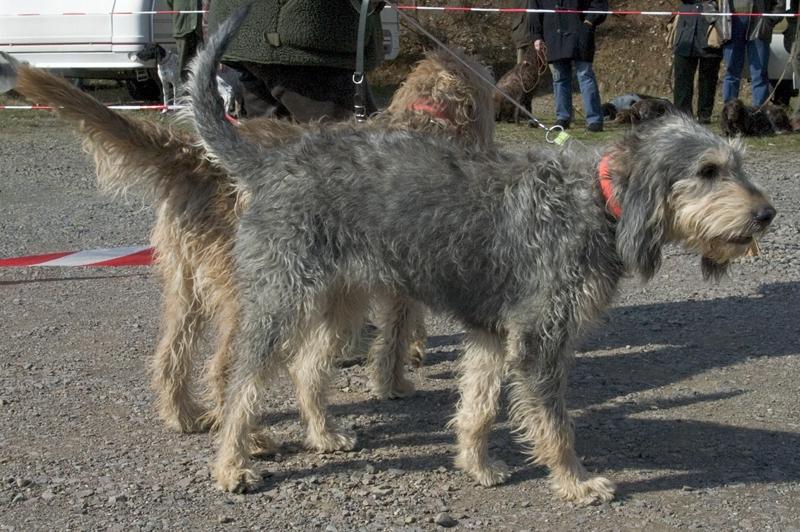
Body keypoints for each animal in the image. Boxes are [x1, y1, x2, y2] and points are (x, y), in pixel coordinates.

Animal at [1, 48, 494, 444]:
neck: (427, 119)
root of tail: (197, 157)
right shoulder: (405, 278)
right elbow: (397, 331)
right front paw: (395, 381)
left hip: (186, 284)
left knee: (170, 355)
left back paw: (184, 416)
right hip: (255, 292)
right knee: (225, 370)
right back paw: (249, 441)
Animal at [186, 9, 776, 502]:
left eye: (738, 163)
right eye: (707, 171)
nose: (767, 214)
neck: (595, 202)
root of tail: (273, 162)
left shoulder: (493, 335)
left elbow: (479, 406)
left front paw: (476, 464)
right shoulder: (540, 341)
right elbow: (556, 425)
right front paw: (575, 482)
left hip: (343, 301)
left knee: (308, 368)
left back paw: (324, 433)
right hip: (279, 304)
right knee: (240, 384)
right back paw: (233, 464)